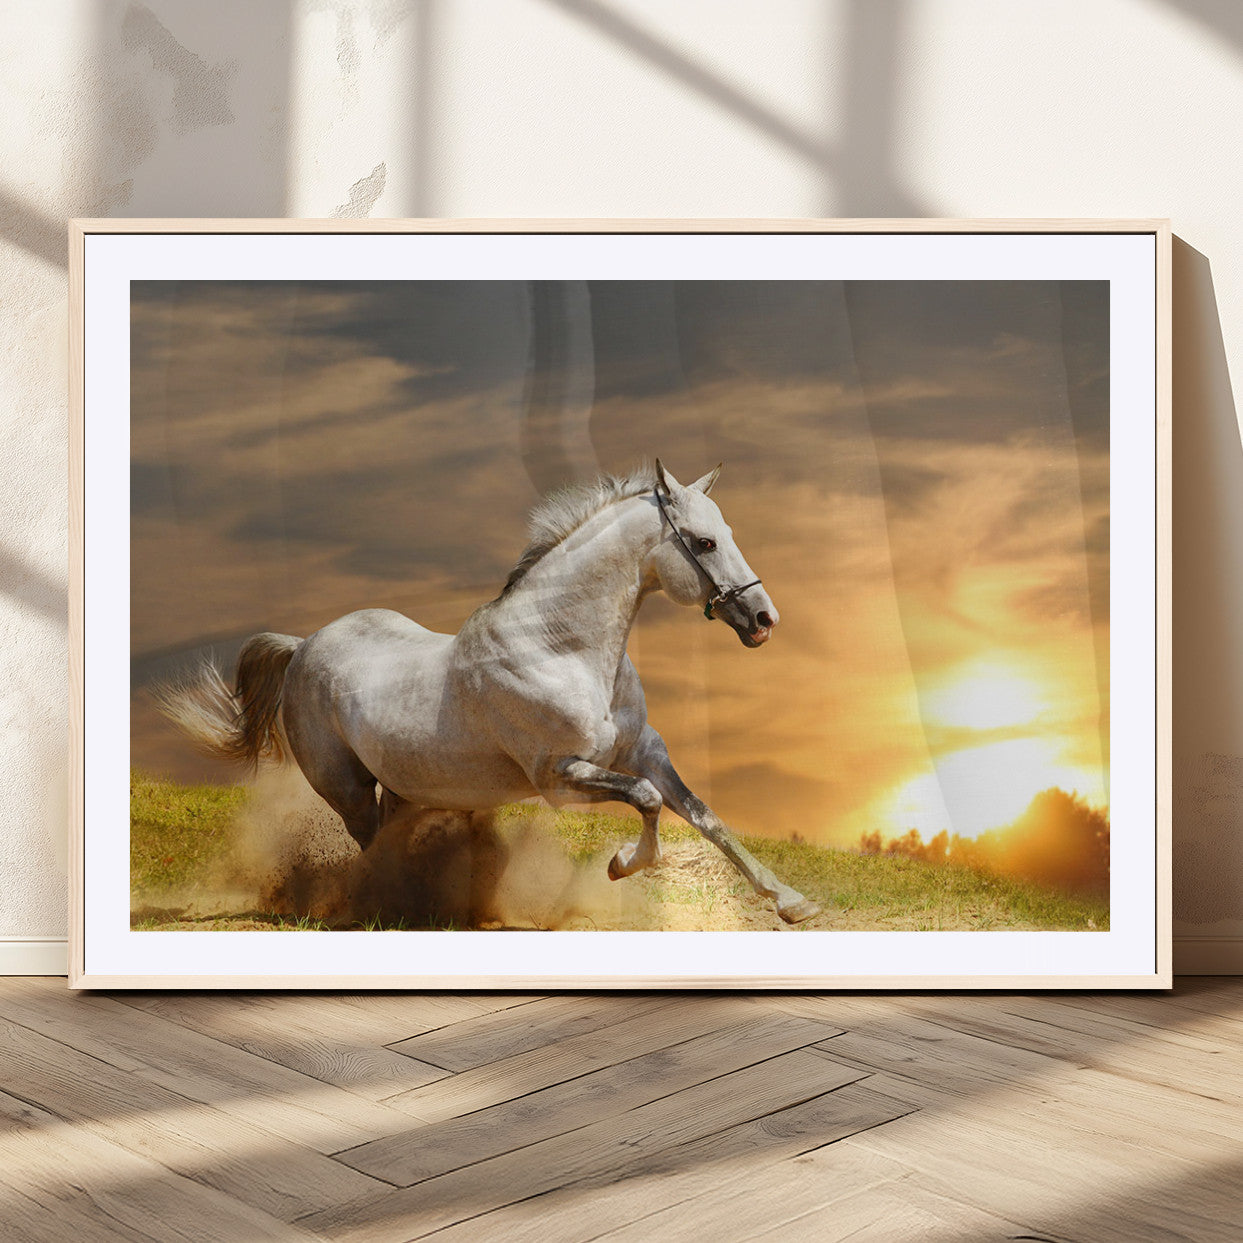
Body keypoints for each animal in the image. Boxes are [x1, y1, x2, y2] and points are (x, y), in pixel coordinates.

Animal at [160, 460, 820, 924]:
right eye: (704, 542)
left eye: (727, 532)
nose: (764, 619)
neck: (561, 648)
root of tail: (302, 646)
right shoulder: (560, 776)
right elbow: (648, 801)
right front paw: (620, 866)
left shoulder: (644, 752)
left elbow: (704, 816)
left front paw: (792, 902)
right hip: (345, 788)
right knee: (371, 844)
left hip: (407, 786)